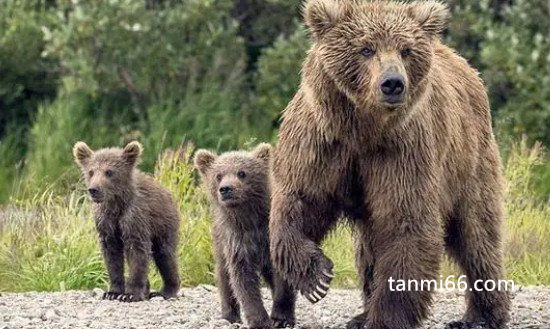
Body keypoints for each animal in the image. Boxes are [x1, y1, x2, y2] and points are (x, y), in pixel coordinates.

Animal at [272, 0, 512, 328]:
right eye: (366, 48)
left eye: (406, 50)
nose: (393, 84)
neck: (364, 130)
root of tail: (468, 67)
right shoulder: (322, 142)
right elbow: (300, 201)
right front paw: (317, 276)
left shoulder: (403, 150)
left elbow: (406, 222)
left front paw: (385, 317)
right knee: (370, 244)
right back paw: (360, 314)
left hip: (469, 160)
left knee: (476, 233)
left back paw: (482, 315)